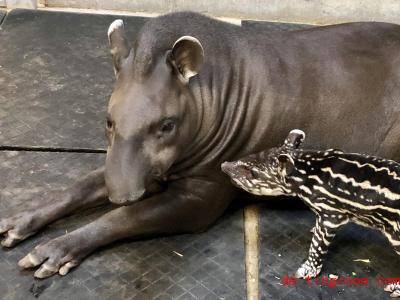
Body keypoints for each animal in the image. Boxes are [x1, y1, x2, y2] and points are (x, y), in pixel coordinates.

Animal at [1, 11, 400, 278]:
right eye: (108, 121)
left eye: (167, 124)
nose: (124, 193)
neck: (209, 90)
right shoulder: (130, 160)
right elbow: (82, 185)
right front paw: (17, 223)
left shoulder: (208, 184)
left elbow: (130, 217)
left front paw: (54, 251)